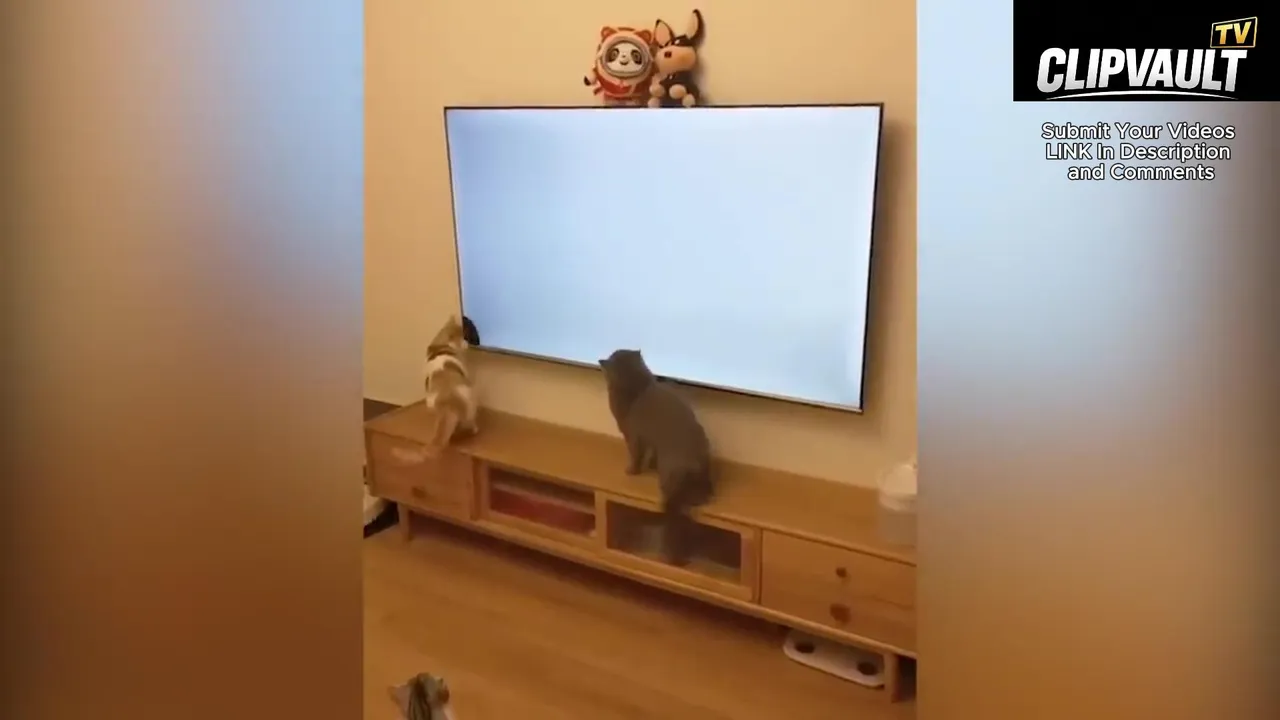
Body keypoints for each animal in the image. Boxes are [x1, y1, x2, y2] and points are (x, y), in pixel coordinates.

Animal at [423, 315, 477, 454]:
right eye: (463, 337)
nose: (468, 344)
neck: (442, 345)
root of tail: (449, 400)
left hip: (431, 401)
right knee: (469, 424)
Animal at [599, 349, 714, 566]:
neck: (635, 385)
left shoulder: (634, 435)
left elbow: (635, 455)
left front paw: (631, 470)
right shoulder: (650, 441)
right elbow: (651, 454)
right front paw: (650, 465)